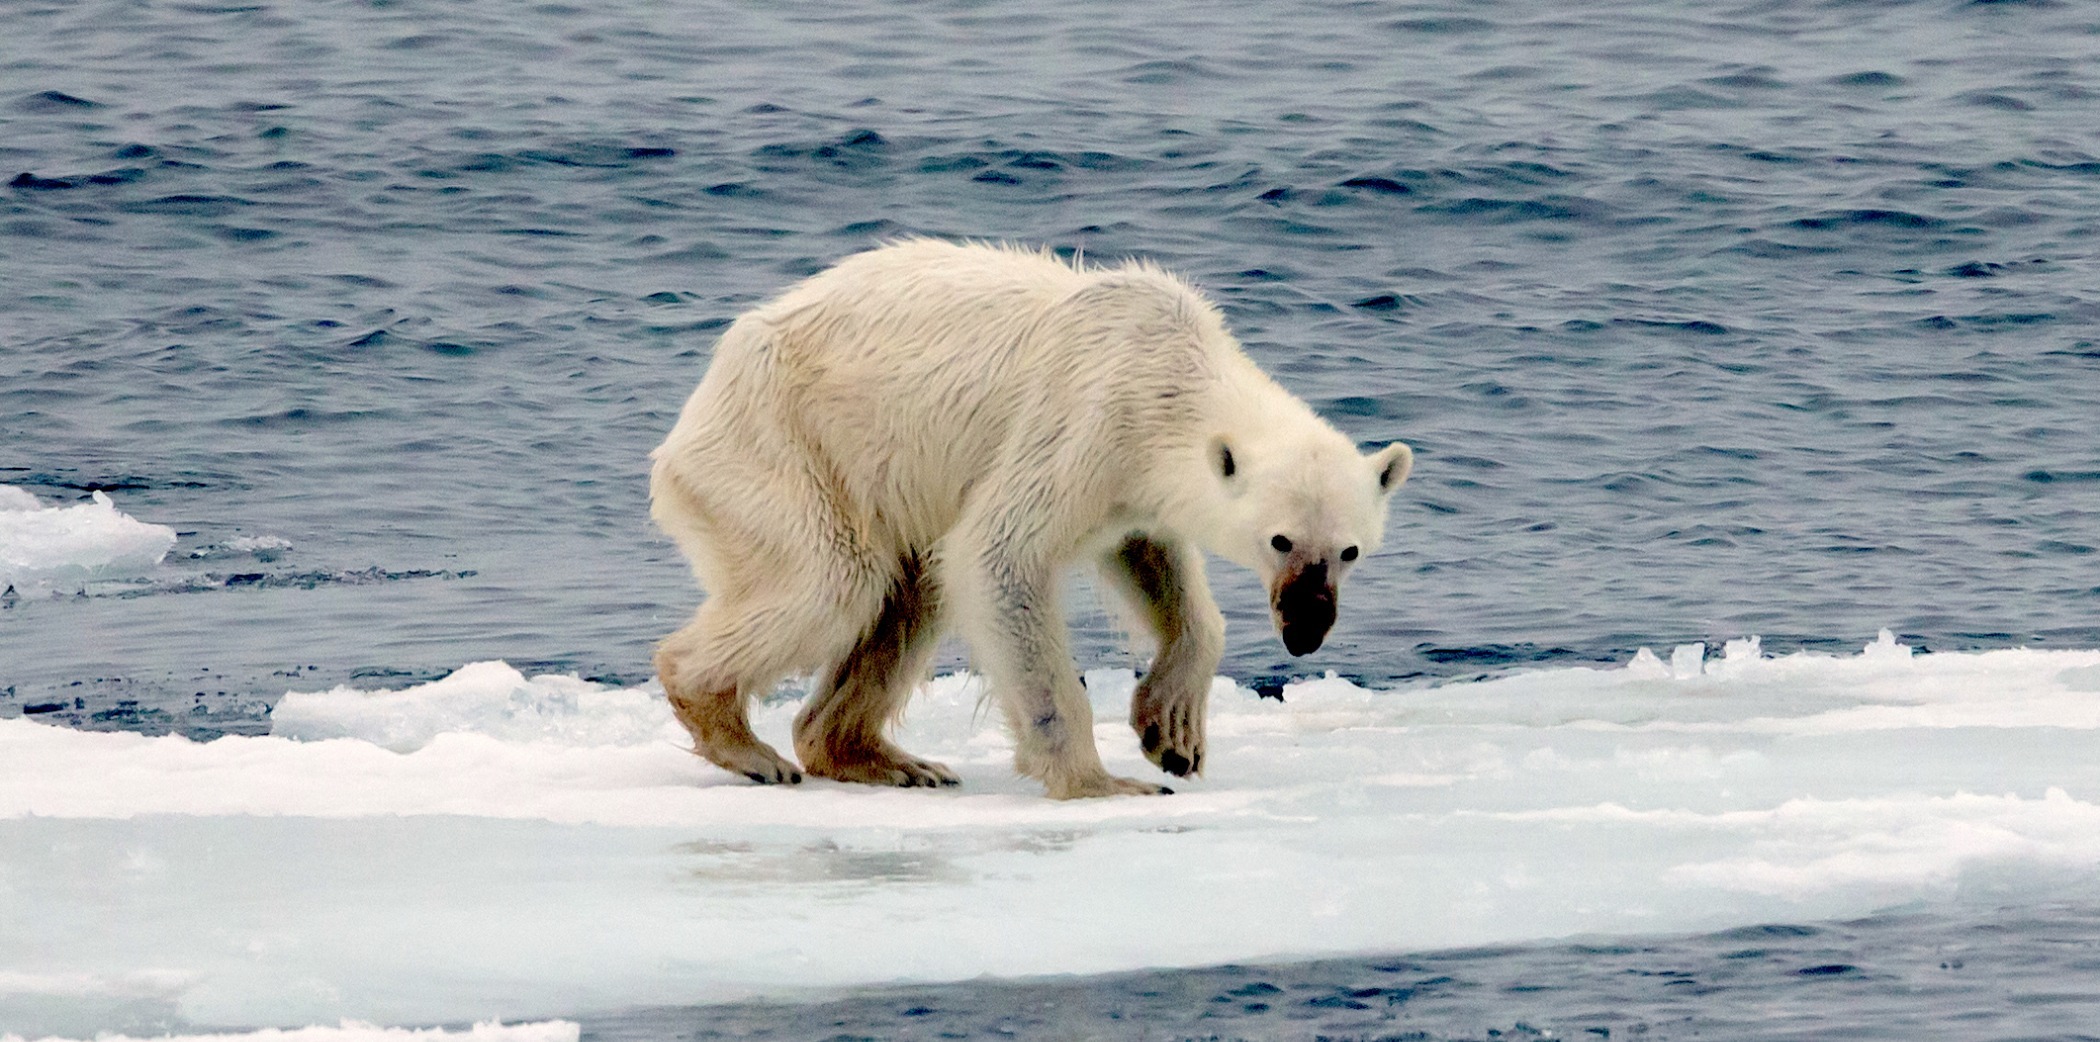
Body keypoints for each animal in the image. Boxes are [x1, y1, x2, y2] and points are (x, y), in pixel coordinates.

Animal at [650, 240, 1413, 799]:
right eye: (1280, 539)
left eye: (1349, 551)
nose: (1306, 630)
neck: (1168, 372)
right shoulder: (1083, 420)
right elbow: (999, 556)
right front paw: (1103, 782)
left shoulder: (1130, 484)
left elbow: (1154, 562)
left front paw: (1173, 732)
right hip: (784, 448)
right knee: (835, 579)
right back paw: (743, 740)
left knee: (909, 593)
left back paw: (887, 759)